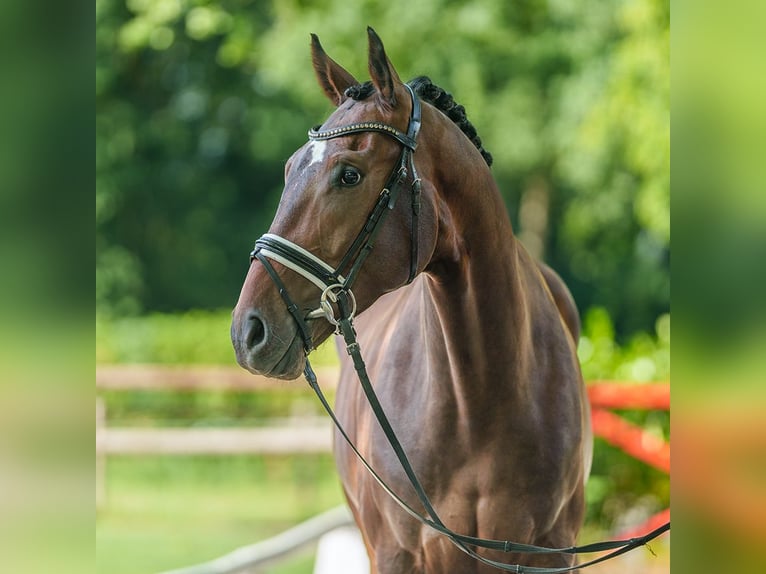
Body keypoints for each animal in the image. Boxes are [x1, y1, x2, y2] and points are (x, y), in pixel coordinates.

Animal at [231, 28, 592, 574]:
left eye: (350, 174)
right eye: (291, 167)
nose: (248, 331)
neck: (481, 399)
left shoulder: (550, 551)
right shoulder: (397, 553)